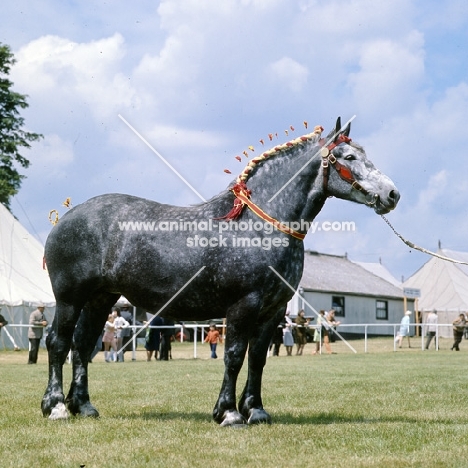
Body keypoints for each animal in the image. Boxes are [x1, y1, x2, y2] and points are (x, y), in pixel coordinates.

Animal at [42, 117, 398, 424]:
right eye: (349, 156)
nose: (392, 194)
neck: (258, 225)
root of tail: (66, 218)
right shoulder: (243, 305)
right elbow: (234, 356)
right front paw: (228, 413)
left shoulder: (272, 310)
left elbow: (258, 359)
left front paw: (256, 411)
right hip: (70, 299)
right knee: (58, 342)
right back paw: (56, 406)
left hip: (100, 299)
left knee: (82, 346)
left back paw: (83, 406)